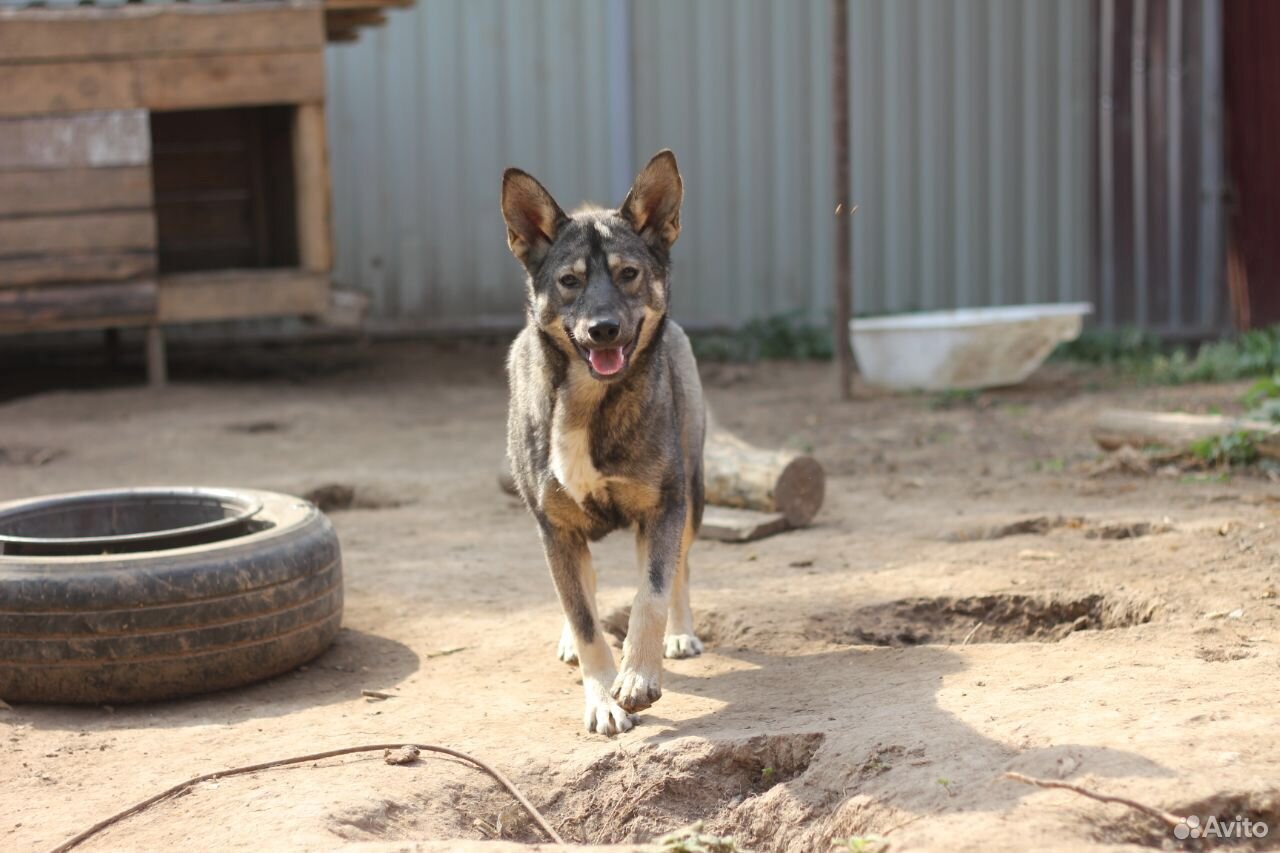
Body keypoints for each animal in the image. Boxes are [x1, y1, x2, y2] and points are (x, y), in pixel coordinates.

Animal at [499, 151, 706, 732]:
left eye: (628, 275)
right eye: (569, 281)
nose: (603, 329)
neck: (589, 401)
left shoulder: (663, 507)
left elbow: (650, 595)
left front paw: (637, 677)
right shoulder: (555, 528)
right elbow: (586, 619)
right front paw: (602, 699)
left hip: (693, 494)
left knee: (678, 569)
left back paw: (680, 633)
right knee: (583, 592)